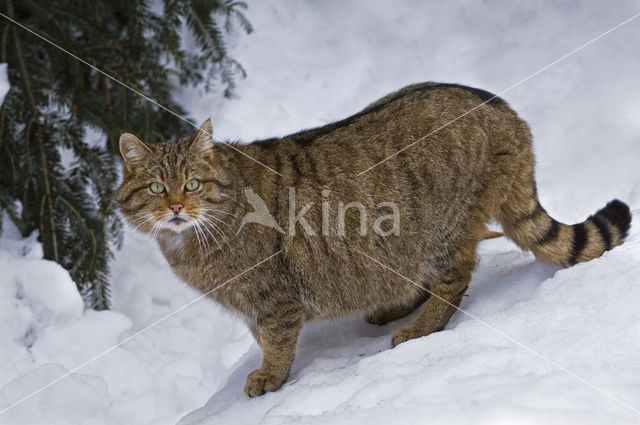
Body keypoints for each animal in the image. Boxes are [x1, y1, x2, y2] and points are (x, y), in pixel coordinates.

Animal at [117, 83, 632, 398]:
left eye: (192, 184)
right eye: (157, 188)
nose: (176, 207)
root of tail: (501, 107)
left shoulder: (274, 298)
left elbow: (276, 340)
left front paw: (272, 374)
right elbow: (263, 335)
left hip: (439, 231)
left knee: (455, 279)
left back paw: (422, 327)